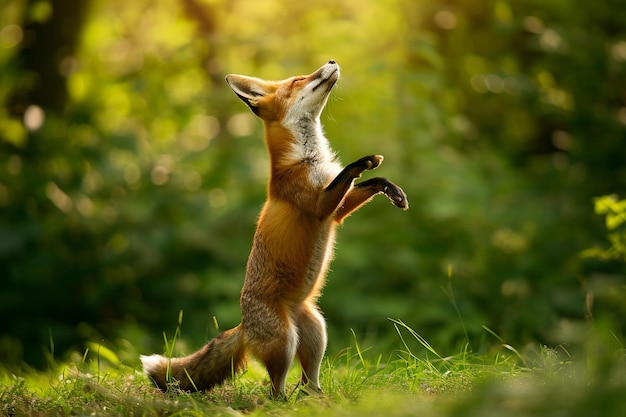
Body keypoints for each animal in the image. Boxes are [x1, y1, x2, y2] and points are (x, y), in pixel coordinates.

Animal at [139, 59, 408, 396]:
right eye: (297, 79)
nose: (332, 61)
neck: (307, 159)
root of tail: (244, 325)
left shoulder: (334, 213)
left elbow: (367, 184)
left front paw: (392, 190)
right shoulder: (317, 204)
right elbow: (348, 173)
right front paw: (365, 161)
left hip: (317, 330)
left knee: (307, 382)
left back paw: (318, 398)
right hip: (284, 341)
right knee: (275, 390)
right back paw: (285, 400)